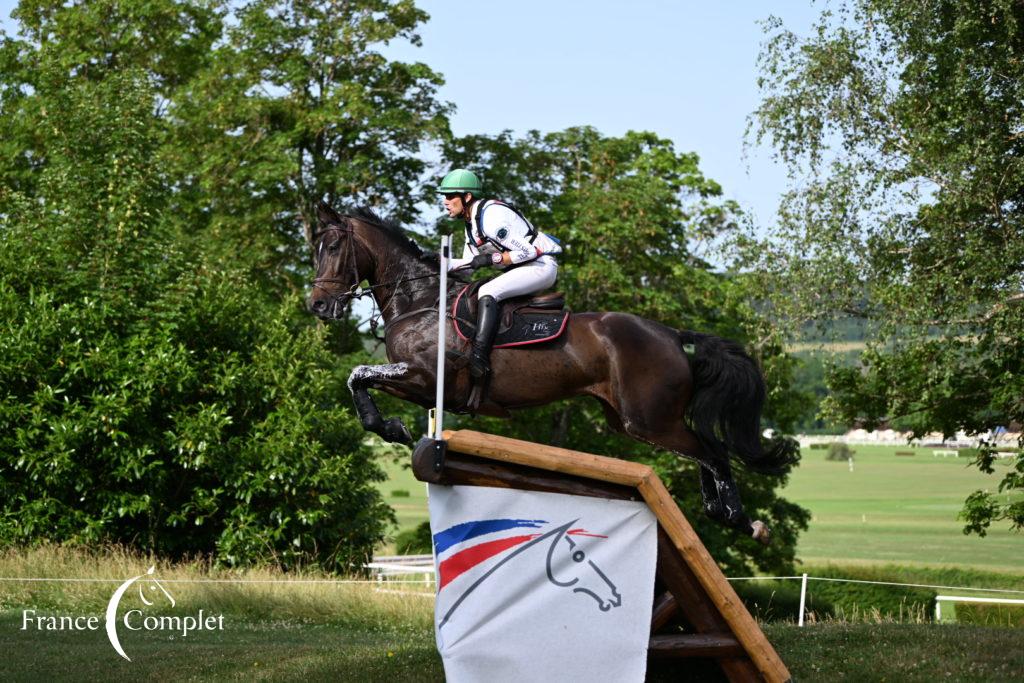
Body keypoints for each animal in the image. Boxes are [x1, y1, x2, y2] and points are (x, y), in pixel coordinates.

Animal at [307, 202, 794, 544]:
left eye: (333, 248)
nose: (317, 305)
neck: (423, 300)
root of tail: (673, 335)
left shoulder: (426, 378)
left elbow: (358, 374)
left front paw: (391, 428)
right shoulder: (421, 388)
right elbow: (358, 379)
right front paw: (391, 427)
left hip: (649, 420)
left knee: (713, 451)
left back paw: (741, 520)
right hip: (635, 421)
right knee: (704, 453)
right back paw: (721, 513)